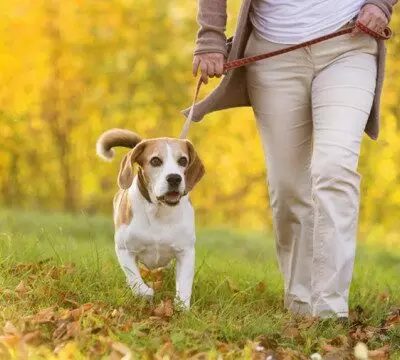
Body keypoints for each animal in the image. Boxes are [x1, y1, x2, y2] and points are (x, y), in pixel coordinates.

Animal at [95, 129, 205, 310]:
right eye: (155, 161)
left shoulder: (186, 251)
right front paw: (146, 292)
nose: (174, 178)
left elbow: (184, 284)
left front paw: (182, 307)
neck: (158, 211)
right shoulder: (124, 249)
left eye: (183, 160)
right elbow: (134, 279)